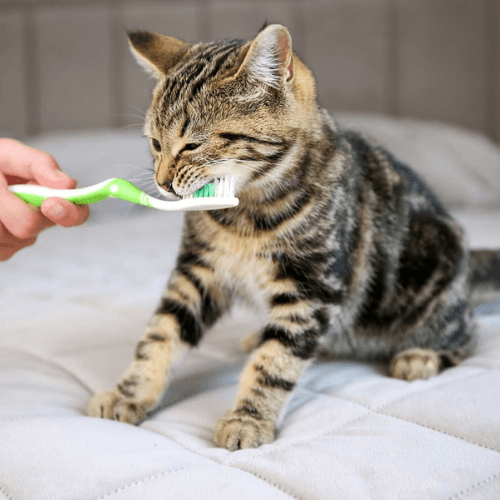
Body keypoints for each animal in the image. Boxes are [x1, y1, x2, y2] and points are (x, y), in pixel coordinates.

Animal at [88, 25, 498, 452]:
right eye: (154, 144)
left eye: (192, 145)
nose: (162, 182)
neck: (245, 214)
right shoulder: (199, 271)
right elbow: (161, 334)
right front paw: (129, 392)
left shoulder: (312, 288)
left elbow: (277, 359)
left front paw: (248, 418)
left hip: (431, 279)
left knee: (468, 333)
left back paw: (422, 356)